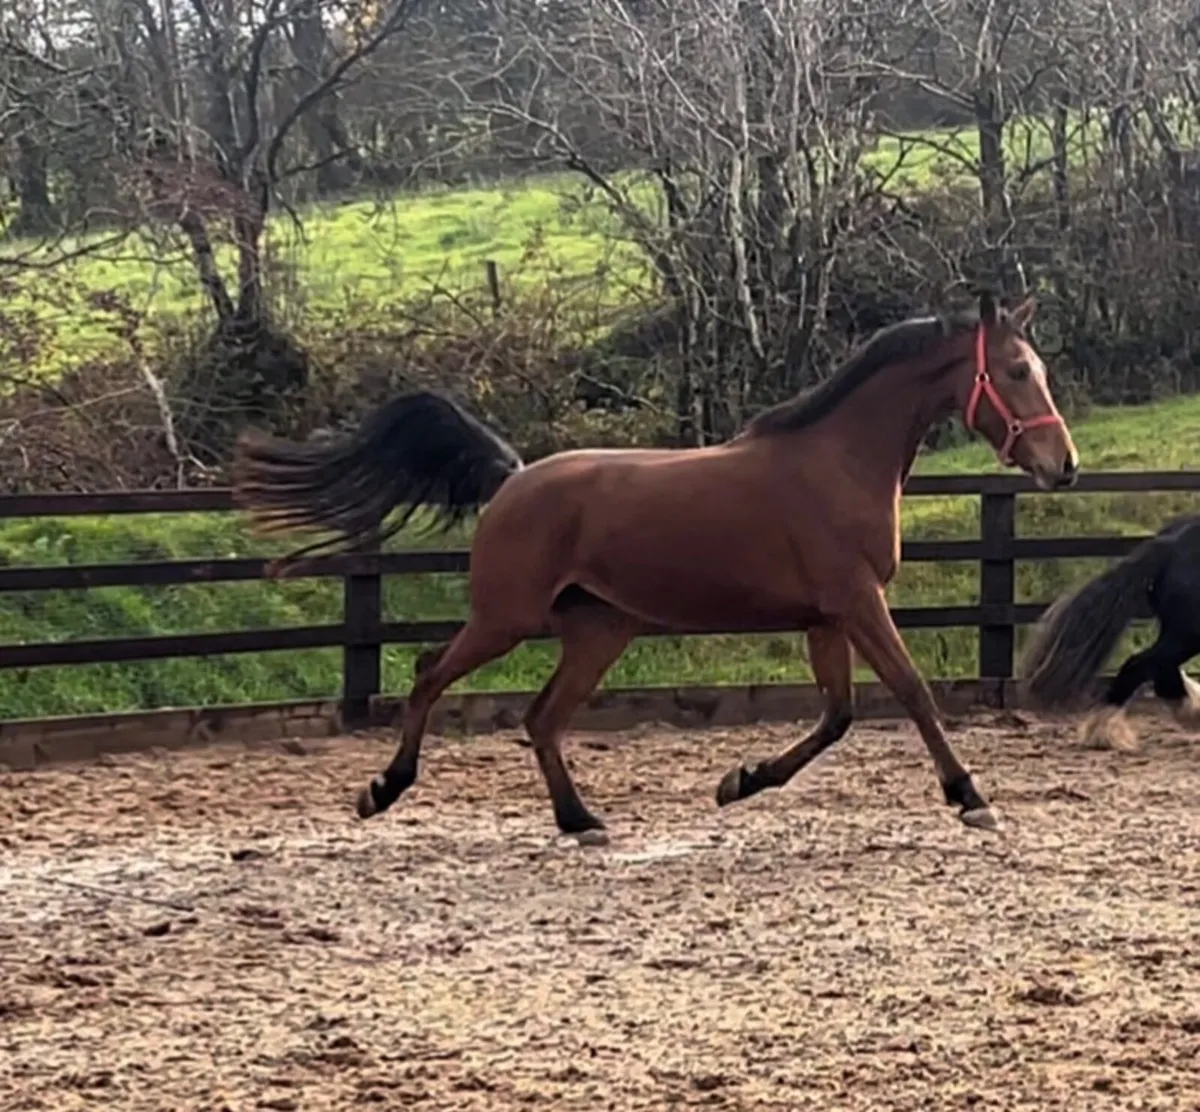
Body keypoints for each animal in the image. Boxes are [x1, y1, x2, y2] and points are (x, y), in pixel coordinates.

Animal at [232, 291, 1078, 840]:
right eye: (1014, 371)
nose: (1063, 466)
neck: (836, 462)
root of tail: (512, 478)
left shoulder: (826, 617)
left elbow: (838, 716)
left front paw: (739, 783)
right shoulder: (858, 602)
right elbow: (912, 693)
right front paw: (970, 797)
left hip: (599, 631)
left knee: (542, 718)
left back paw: (580, 822)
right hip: (506, 618)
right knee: (430, 674)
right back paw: (383, 789)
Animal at [1019, 514, 1200, 750]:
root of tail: (1172, 544)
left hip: (1180, 632)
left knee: (1157, 668)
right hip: (1188, 633)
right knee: (1140, 665)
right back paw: (1104, 733)